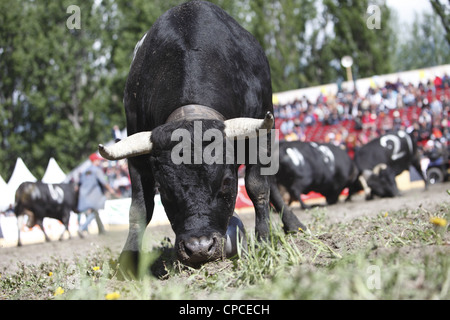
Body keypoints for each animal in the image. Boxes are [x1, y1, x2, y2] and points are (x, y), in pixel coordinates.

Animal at [97, 1, 304, 274]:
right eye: (164, 189)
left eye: (226, 182)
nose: (199, 248)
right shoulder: (136, 152)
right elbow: (140, 208)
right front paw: (128, 262)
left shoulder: (260, 136)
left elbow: (258, 187)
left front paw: (264, 242)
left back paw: (293, 224)